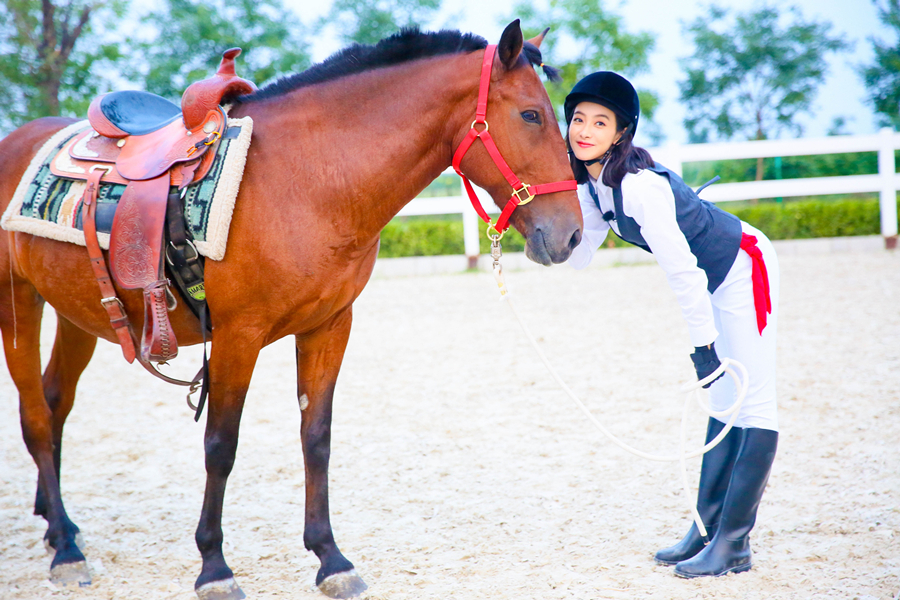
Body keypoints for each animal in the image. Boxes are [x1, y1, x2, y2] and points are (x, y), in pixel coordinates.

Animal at [0, 21, 584, 596]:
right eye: (531, 114)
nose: (573, 234)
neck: (307, 176)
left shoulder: (329, 326)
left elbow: (316, 438)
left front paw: (331, 558)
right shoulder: (238, 336)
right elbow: (221, 445)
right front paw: (214, 566)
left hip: (82, 313)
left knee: (55, 403)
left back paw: (58, 526)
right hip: (19, 306)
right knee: (35, 417)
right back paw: (67, 549)